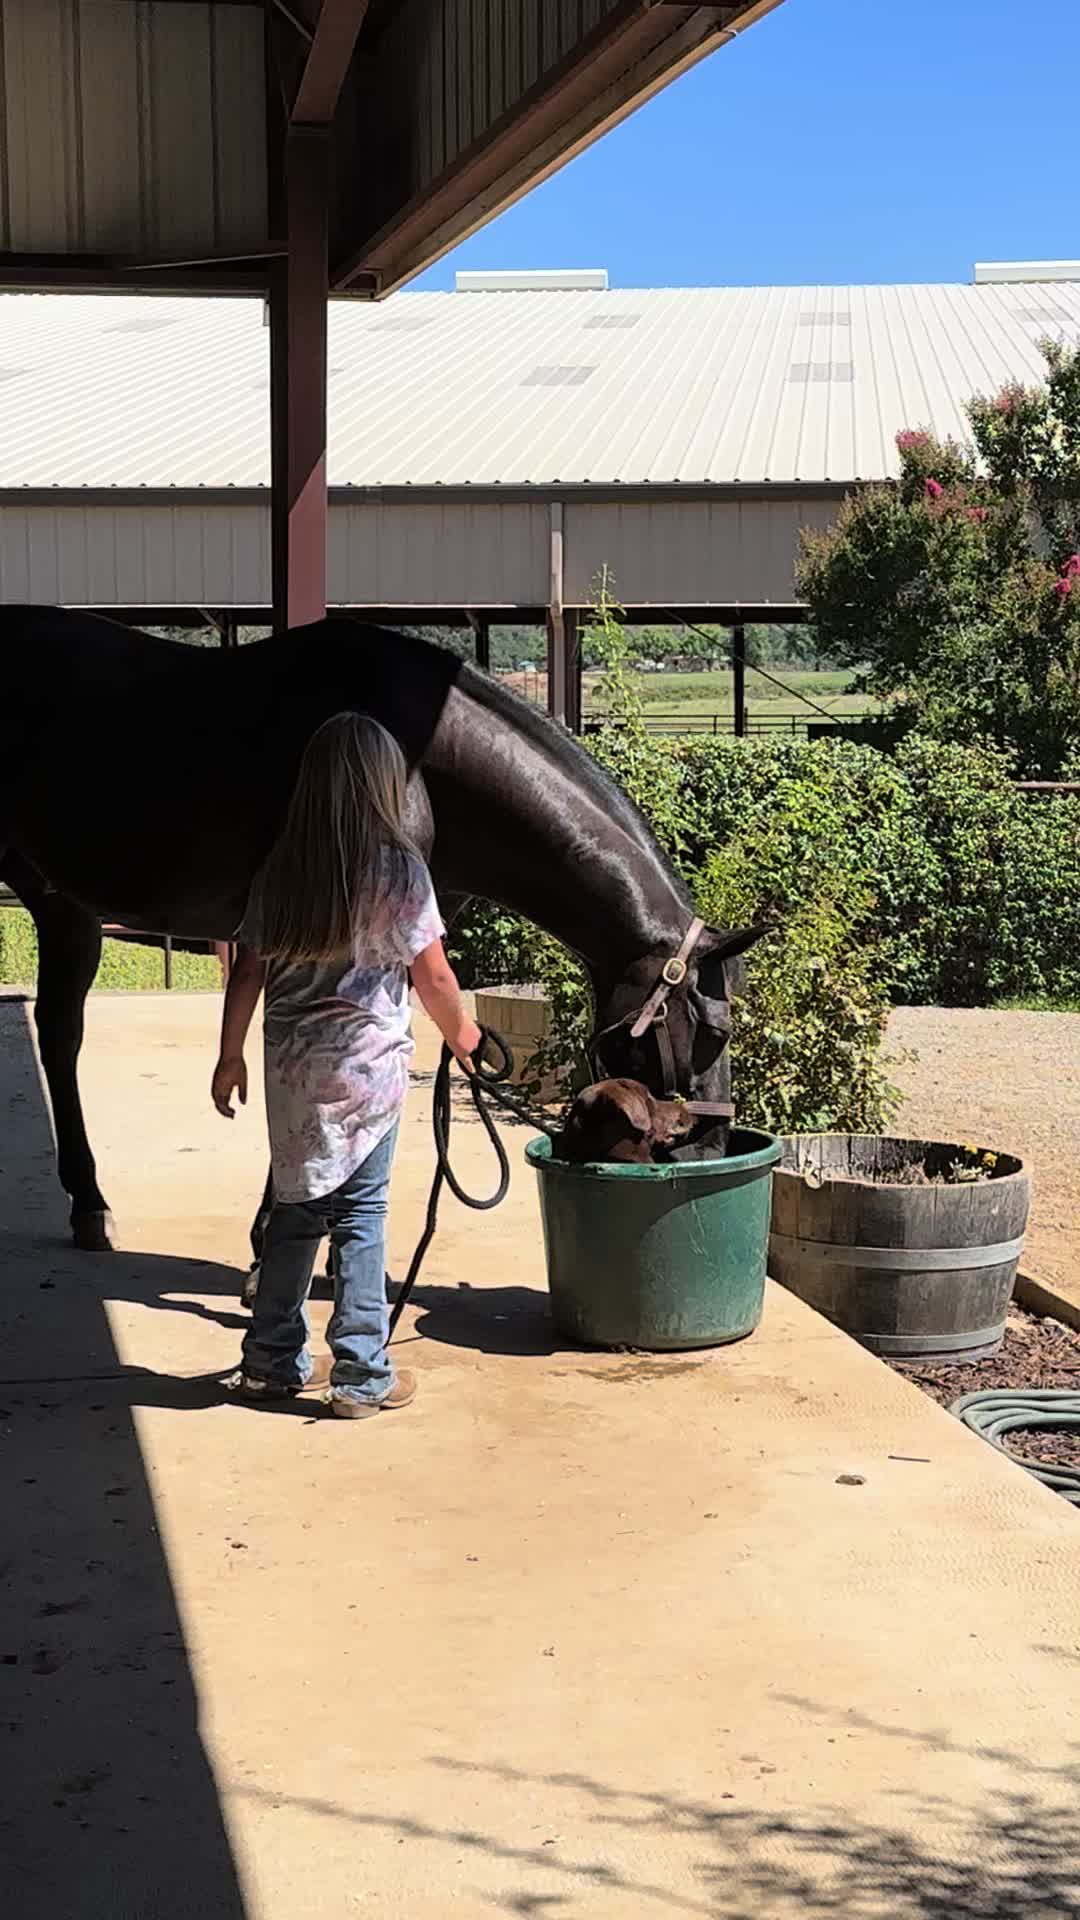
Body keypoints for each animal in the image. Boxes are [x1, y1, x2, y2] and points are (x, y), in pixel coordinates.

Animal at [0, 607, 760, 1252]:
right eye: (712, 1033)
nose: (707, 1149)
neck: (423, 758)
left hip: (64, 908)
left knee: (59, 1035)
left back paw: (89, 1207)